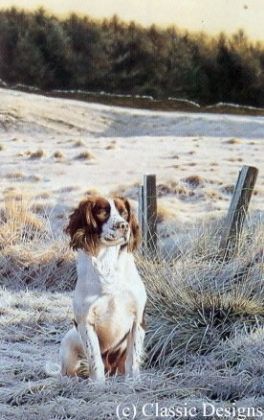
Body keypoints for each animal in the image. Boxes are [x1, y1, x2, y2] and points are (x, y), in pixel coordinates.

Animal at [59, 195, 147, 382]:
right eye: (102, 212)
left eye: (124, 212)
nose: (123, 226)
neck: (108, 264)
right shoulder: (85, 322)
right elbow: (95, 360)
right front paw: (98, 385)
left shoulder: (138, 320)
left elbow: (132, 360)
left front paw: (133, 383)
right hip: (69, 343)